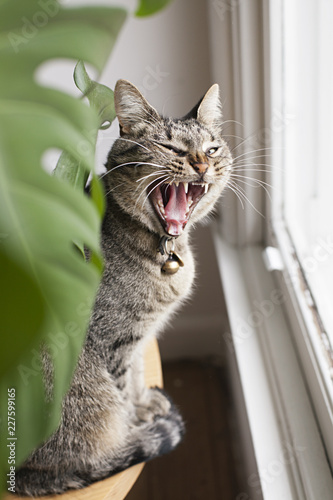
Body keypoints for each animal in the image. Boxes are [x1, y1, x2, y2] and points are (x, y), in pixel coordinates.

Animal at [14, 80, 231, 494]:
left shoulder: (141, 336)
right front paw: (138, 418)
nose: (201, 164)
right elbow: (123, 386)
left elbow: (136, 375)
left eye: (212, 149)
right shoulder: (113, 338)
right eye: (170, 148)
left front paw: (145, 402)